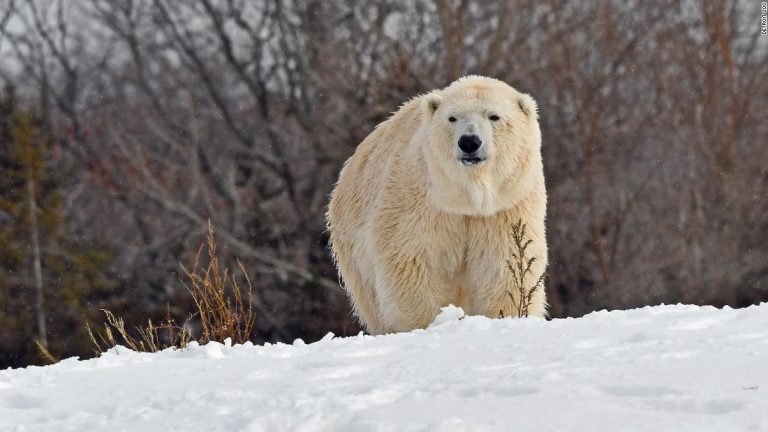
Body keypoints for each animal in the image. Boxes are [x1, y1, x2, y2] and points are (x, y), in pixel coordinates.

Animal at [327, 76, 547, 334]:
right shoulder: (421, 201)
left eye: (494, 116)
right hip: (353, 248)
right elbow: (410, 259)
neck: (465, 198)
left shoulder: (505, 207)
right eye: (452, 118)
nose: (469, 142)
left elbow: (504, 263)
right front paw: (429, 323)